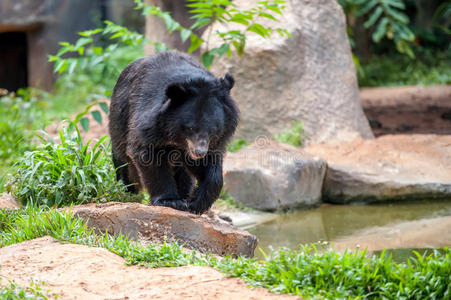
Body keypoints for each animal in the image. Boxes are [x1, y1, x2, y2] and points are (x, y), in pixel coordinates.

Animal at [108, 51, 240, 213]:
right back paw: (129, 192)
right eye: (190, 128)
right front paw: (170, 201)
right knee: (123, 163)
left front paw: (197, 203)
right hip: (120, 120)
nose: (199, 152)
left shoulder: (214, 140)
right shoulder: (149, 123)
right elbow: (147, 154)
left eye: (213, 130)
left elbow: (211, 165)